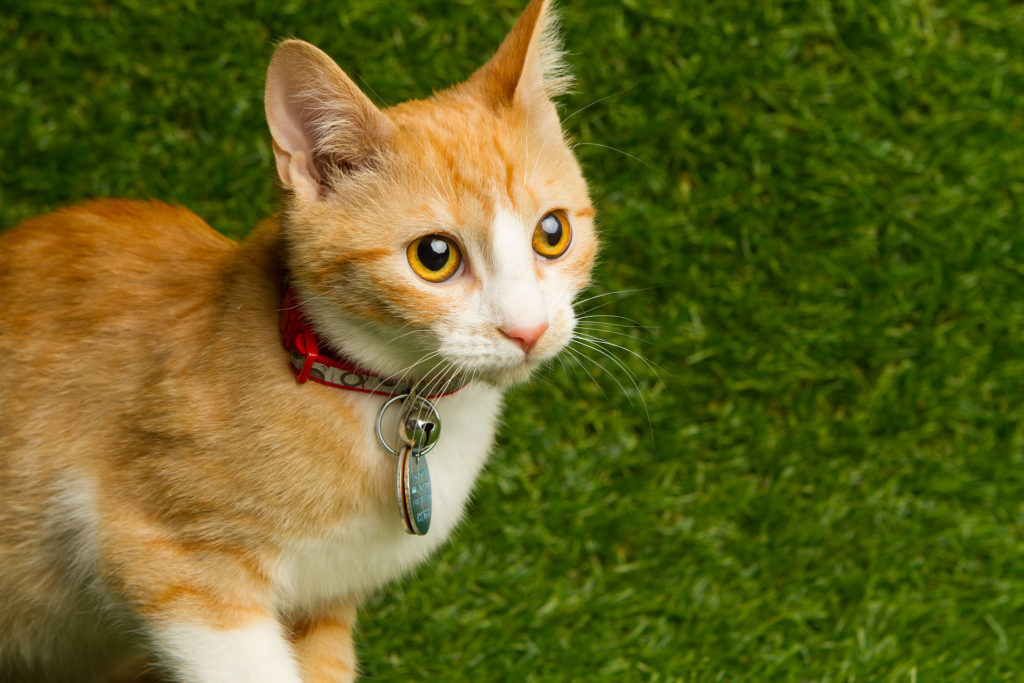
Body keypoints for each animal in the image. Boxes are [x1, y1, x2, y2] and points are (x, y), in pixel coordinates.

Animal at [0, 1, 598, 683]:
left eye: (552, 233)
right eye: (435, 256)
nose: (528, 329)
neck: (359, 384)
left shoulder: (326, 602)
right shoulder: (168, 556)